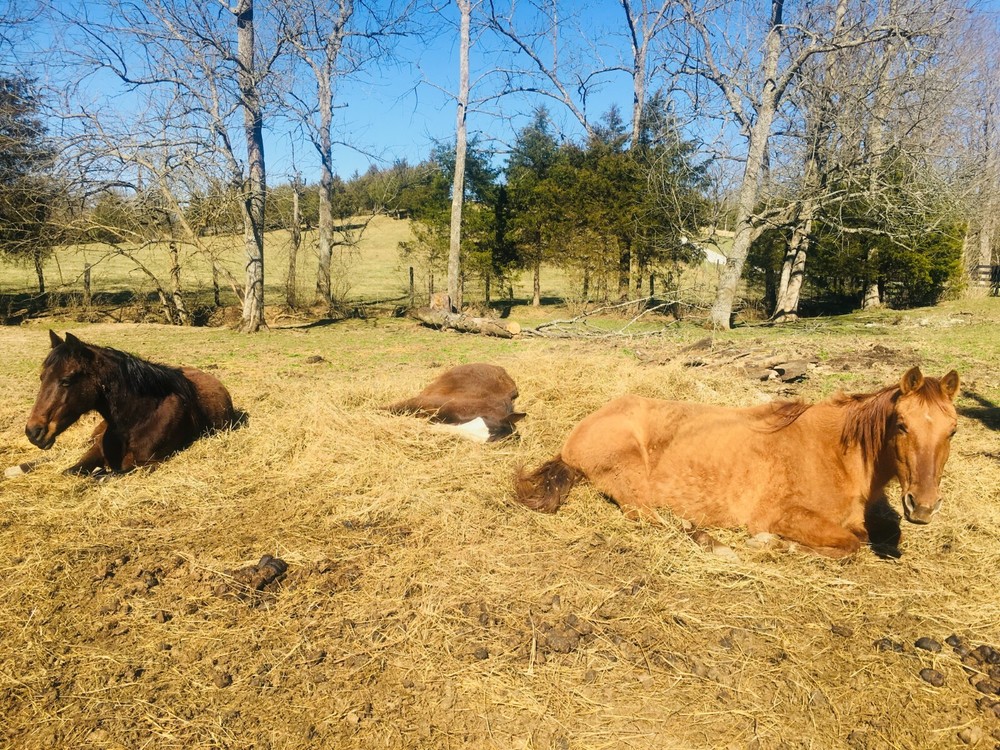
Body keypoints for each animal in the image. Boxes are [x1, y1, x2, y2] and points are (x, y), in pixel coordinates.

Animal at [14, 330, 239, 476]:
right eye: (42, 377)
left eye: (66, 380)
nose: (34, 432)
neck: (140, 417)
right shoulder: (96, 449)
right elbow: (71, 471)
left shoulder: (149, 463)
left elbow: (106, 474)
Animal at [515, 366, 959, 558]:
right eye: (901, 425)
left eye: (953, 430)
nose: (923, 506)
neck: (837, 454)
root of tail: (572, 440)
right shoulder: (784, 515)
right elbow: (851, 544)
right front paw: (775, 544)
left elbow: (872, 532)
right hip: (631, 475)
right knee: (649, 517)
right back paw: (707, 539)